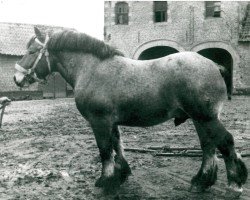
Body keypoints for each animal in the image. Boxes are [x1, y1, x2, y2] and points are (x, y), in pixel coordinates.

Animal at [13, 26, 246, 195]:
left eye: (31, 51)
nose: (17, 78)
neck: (92, 69)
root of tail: (214, 66)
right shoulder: (111, 122)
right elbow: (117, 146)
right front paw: (121, 175)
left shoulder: (99, 121)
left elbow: (105, 150)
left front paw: (106, 182)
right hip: (200, 119)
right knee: (208, 147)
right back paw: (201, 182)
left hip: (205, 118)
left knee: (225, 142)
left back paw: (234, 183)